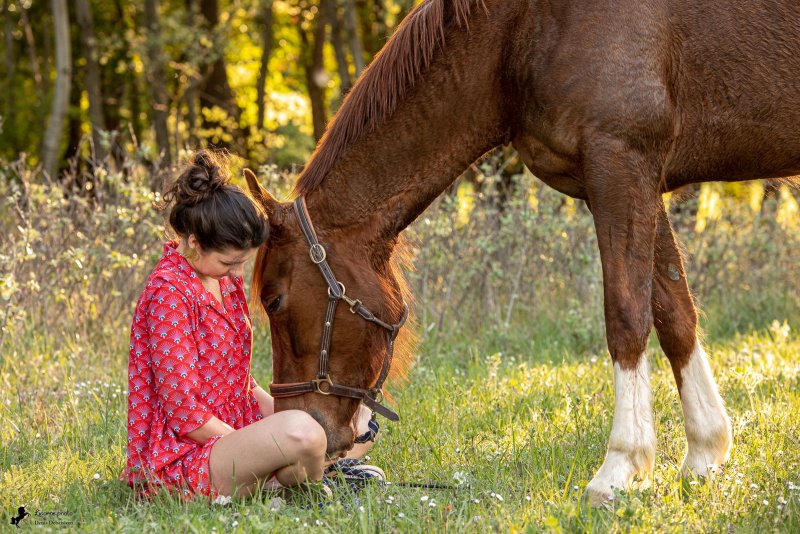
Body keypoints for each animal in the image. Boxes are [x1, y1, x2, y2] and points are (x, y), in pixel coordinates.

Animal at [244, 0, 800, 504]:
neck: (524, 29)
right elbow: (674, 315)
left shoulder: (620, 164)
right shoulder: (638, 181)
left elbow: (626, 317)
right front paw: (704, 453)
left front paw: (619, 467)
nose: (304, 428)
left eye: (273, 301)